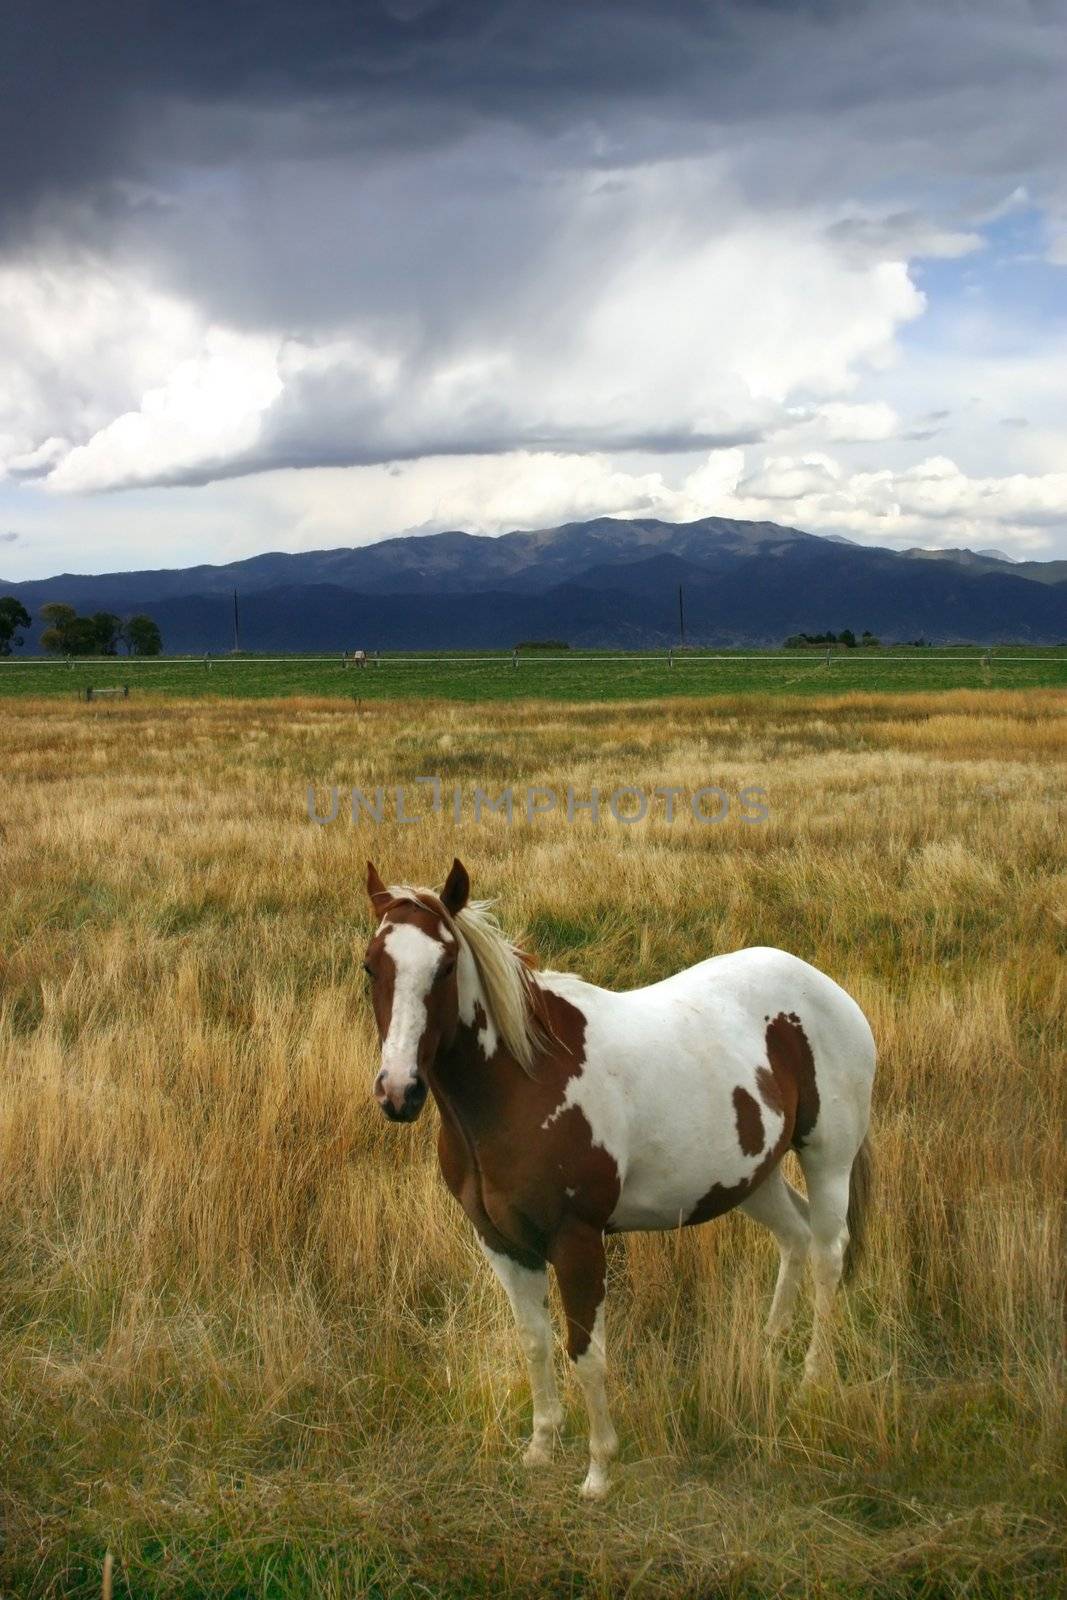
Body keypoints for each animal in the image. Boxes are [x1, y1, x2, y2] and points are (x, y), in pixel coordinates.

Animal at [363, 864, 870, 1497]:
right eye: (371, 966)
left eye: (447, 965)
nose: (398, 1091)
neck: (525, 1083)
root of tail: (826, 988)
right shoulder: (501, 1242)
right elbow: (534, 1342)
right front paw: (540, 1447)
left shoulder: (577, 1240)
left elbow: (586, 1352)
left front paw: (599, 1470)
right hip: (754, 1174)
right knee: (795, 1238)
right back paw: (769, 1352)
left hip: (828, 1157)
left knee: (828, 1253)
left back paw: (810, 1382)